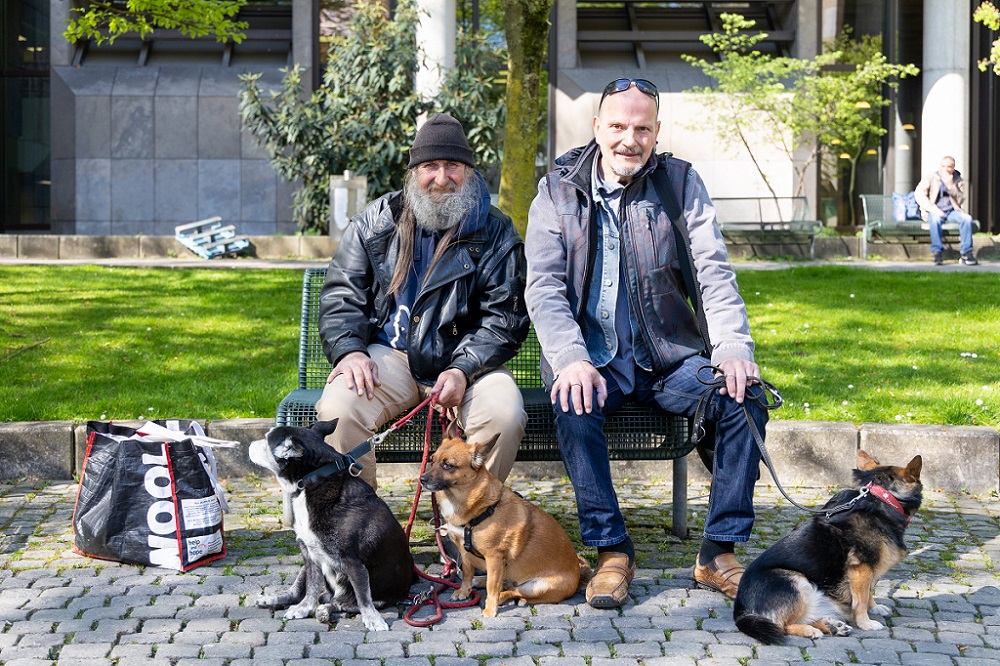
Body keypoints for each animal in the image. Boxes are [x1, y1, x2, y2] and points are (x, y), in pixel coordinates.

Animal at [248, 420, 416, 628]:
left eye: (265, 440)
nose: (248, 444)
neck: (310, 482)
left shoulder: (352, 561)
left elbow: (363, 596)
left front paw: (373, 619)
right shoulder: (309, 555)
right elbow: (311, 588)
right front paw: (303, 608)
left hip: (377, 596)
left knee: (343, 603)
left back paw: (326, 609)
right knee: (300, 592)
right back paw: (274, 600)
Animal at [418, 434, 588, 616]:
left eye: (447, 465)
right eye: (431, 460)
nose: (422, 479)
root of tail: (578, 577)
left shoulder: (494, 557)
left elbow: (492, 586)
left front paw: (490, 609)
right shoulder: (465, 553)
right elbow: (467, 574)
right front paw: (464, 591)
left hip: (537, 586)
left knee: (513, 591)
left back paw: (502, 598)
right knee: (504, 583)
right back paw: (480, 581)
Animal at [736, 448, 920, 640]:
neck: (883, 498)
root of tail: (740, 609)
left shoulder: (867, 570)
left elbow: (868, 592)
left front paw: (874, 607)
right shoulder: (862, 568)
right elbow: (861, 599)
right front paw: (866, 623)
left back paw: (832, 626)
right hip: (798, 583)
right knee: (782, 626)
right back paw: (811, 630)